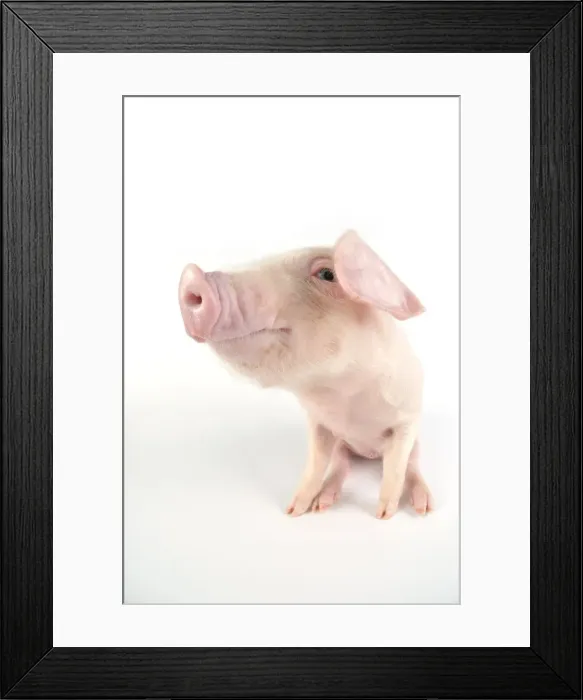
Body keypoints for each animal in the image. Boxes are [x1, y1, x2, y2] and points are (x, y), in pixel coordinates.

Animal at [178, 230, 433, 519]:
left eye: (327, 274)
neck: (345, 397)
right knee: (340, 465)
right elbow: (315, 463)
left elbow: (396, 467)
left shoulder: (407, 419)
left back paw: (424, 506)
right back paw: (323, 504)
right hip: (343, 445)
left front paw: (383, 515)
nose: (191, 275)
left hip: (417, 444)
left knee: (412, 467)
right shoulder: (319, 423)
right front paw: (293, 511)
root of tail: (369, 454)